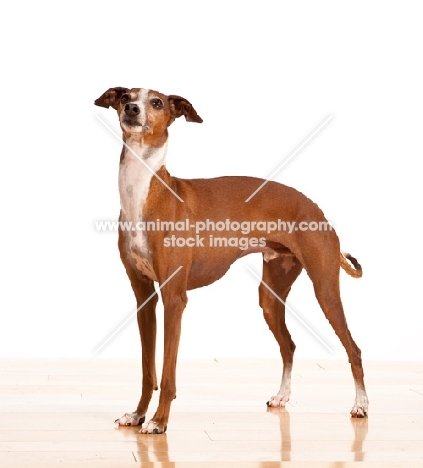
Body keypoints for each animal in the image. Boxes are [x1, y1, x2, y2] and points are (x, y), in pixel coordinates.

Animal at [94, 87, 370, 432]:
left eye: (156, 102)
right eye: (125, 96)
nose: (131, 109)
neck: (145, 192)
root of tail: (316, 208)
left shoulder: (174, 298)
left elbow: (168, 374)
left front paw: (158, 421)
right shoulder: (144, 296)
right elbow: (148, 371)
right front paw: (138, 414)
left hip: (325, 289)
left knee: (354, 349)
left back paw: (361, 405)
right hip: (270, 296)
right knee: (289, 345)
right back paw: (282, 397)